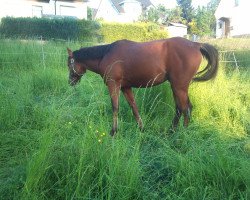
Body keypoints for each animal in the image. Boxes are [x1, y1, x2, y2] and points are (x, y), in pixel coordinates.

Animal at [67, 37, 219, 136]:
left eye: (69, 64)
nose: (70, 82)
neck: (105, 54)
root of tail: (196, 44)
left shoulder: (113, 84)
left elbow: (115, 107)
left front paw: (113, 131)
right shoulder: (125, 87)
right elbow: (133, 107)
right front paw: (141, 128)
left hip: (179, 87)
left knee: (184, 108)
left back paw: (180, 134)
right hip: (177, 87)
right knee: (181, 108)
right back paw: (173, 131)